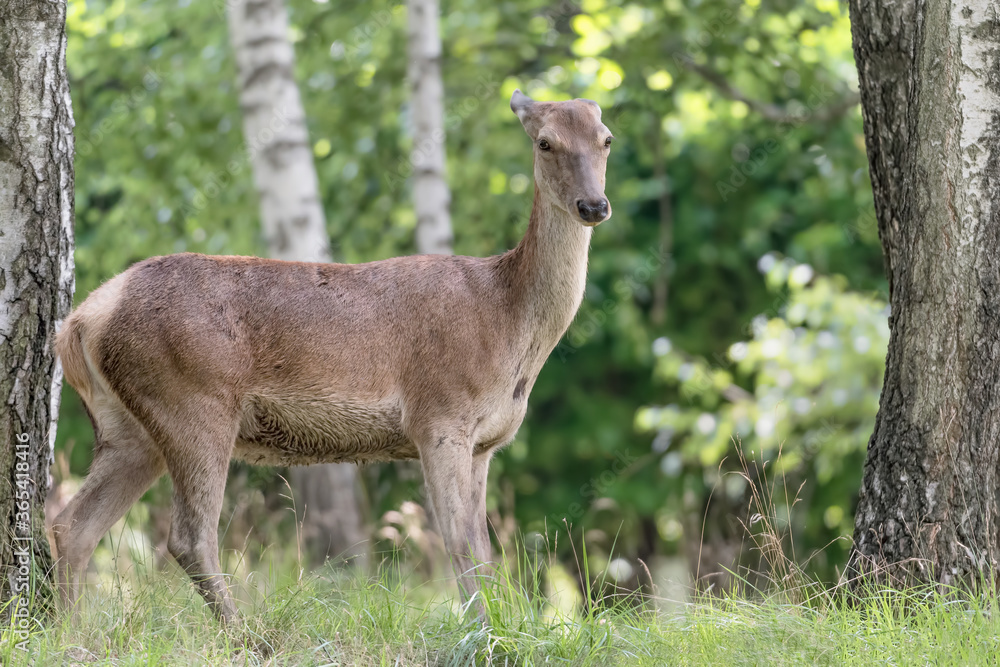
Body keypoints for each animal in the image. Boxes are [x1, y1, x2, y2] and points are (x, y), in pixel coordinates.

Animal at [54, 88, 612, 620]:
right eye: (545, 142)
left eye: (606, 138)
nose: (594, 205)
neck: (507, 323)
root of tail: (80, 320)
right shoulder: (439, 416)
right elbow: (458, 543)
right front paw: (482, 631)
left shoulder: (485, 444)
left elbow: (483, 549)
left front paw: (502, 626)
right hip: (192, 400)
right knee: (189, 537)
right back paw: (248, 636)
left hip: (129, 427)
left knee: (71, 525)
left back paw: (71, 632)